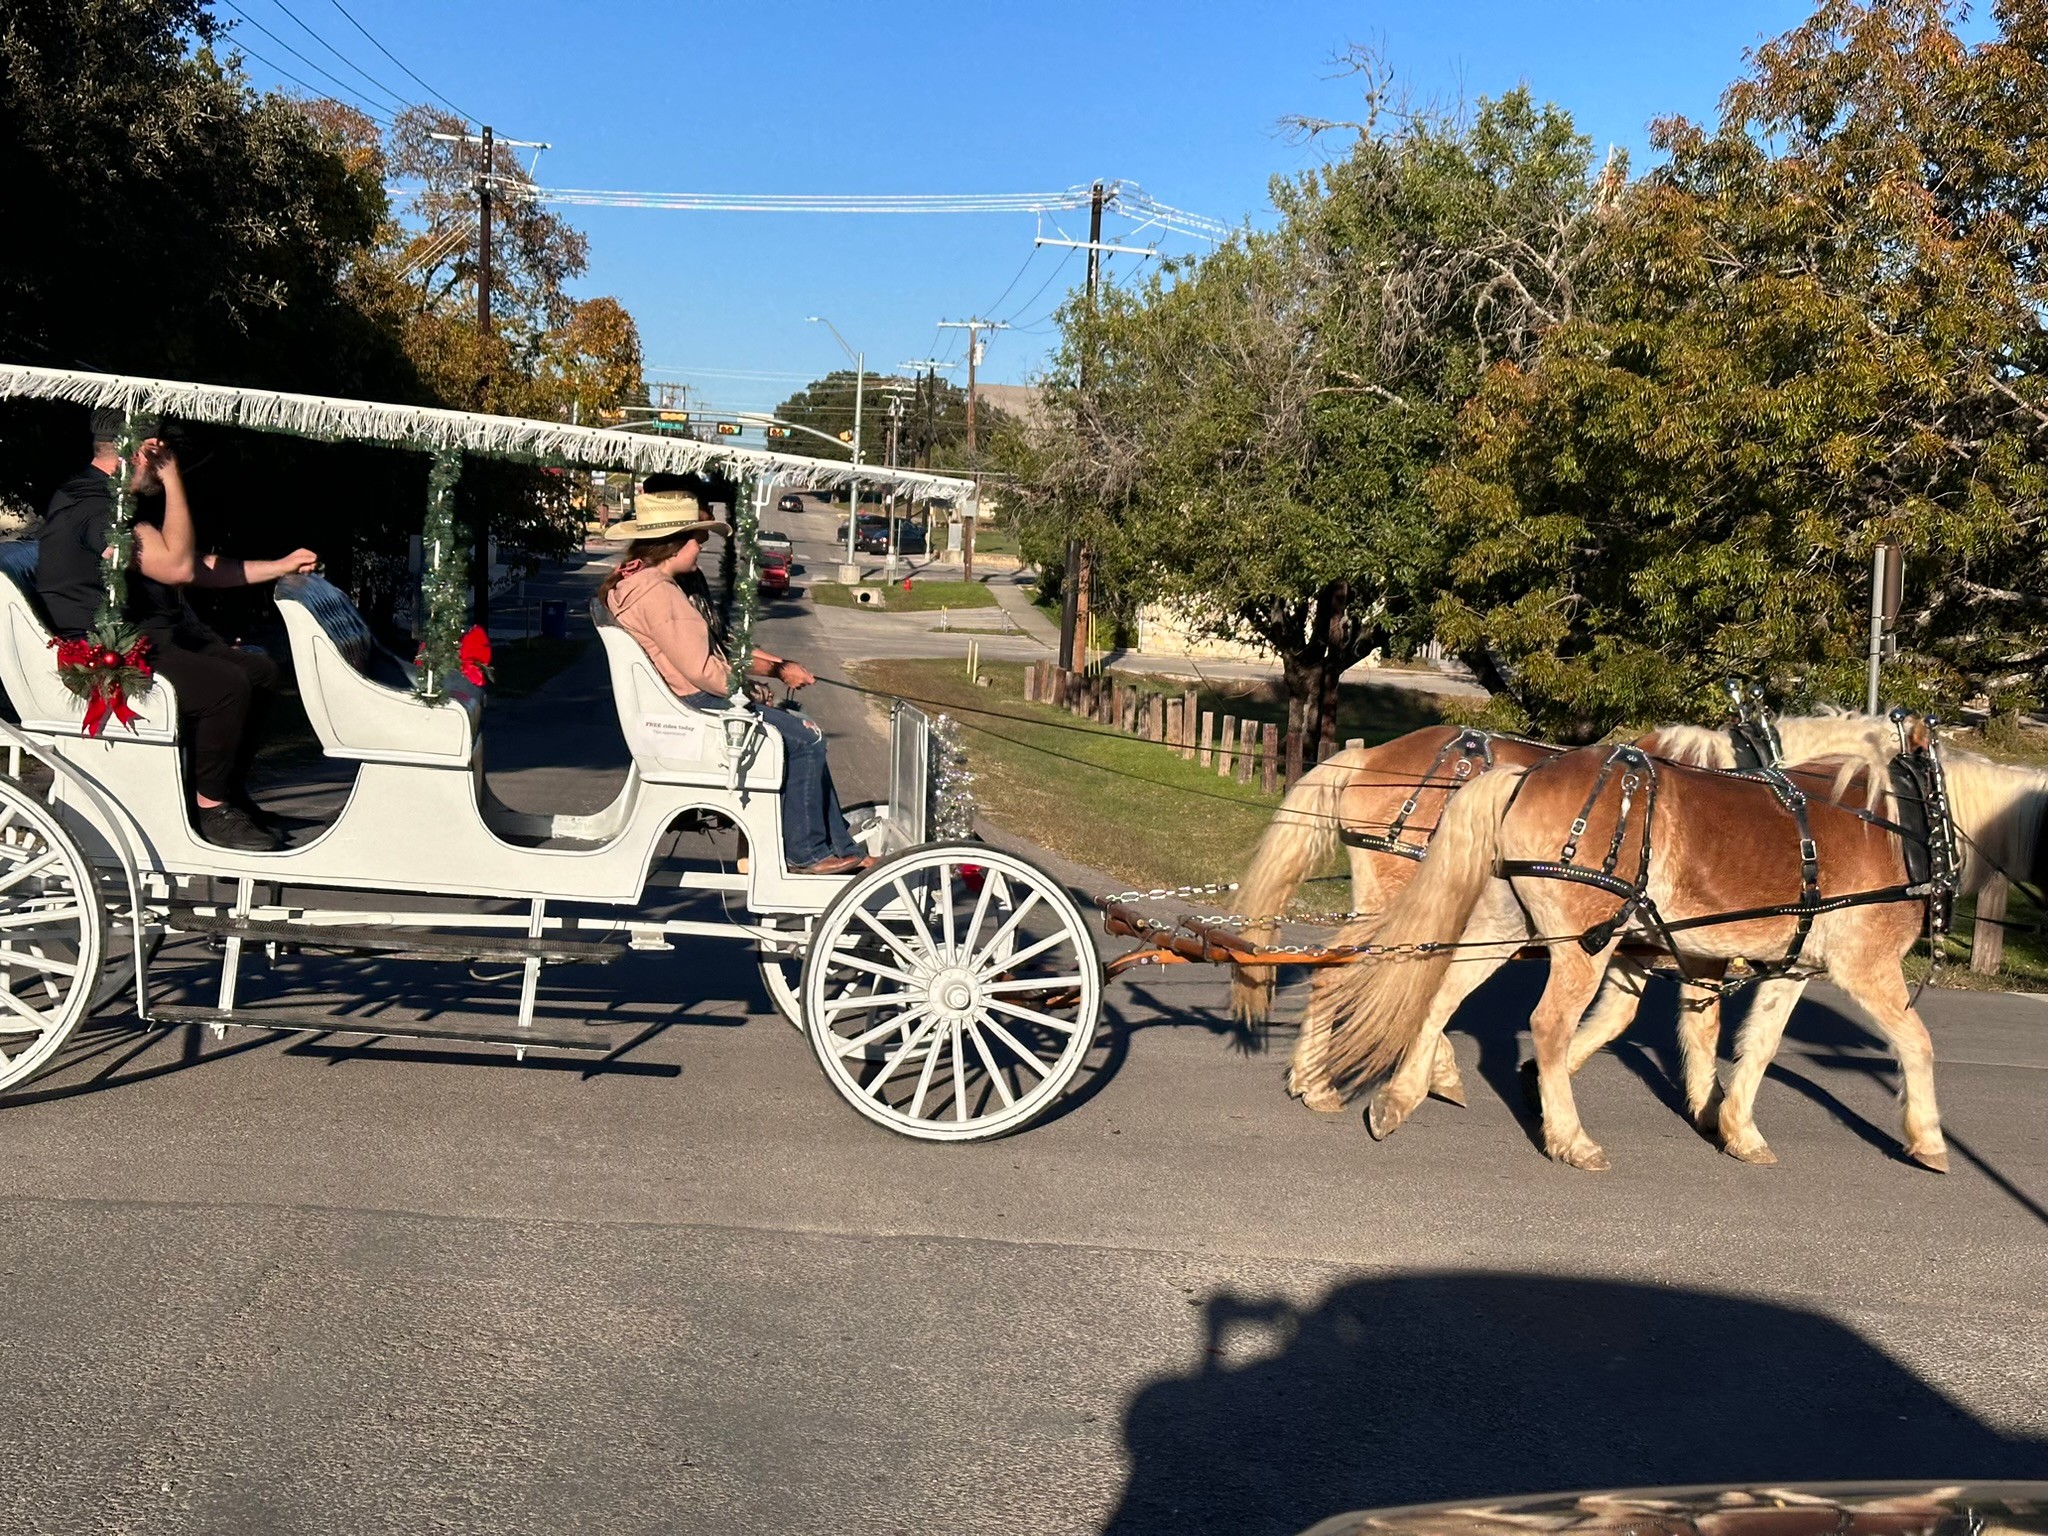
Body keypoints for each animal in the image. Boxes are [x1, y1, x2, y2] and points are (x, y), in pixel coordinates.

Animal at [1232, 712, 1906, 1113]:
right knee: (1354, 972)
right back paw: (1334, 1079)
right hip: (1404, 899)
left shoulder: (1642, 942)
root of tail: (1369, 757)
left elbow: (1633, 1018)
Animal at [1302, 739, 2041, 1172]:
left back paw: (1398, 1098)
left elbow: (1753, 1046)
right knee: (1545, 1024)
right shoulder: (1867, 967)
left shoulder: (1790, 967)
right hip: (1581, 941)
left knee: (1441, 990)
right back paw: (1568, 1137)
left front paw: (1736, 1127)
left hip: (1507, 919)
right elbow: (1916, 1042)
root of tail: (1520, 776)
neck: (1910, 825)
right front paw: (1929, 1138)